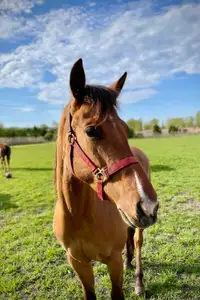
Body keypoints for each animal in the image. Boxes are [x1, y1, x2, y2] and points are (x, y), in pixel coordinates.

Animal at [53, 57, 159, 298]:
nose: (149, 205)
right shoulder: (78, 263)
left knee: (137, 241)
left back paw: (138, 281)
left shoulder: (113, 261)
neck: (78, 214)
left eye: (126, 129)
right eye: (92, 131)